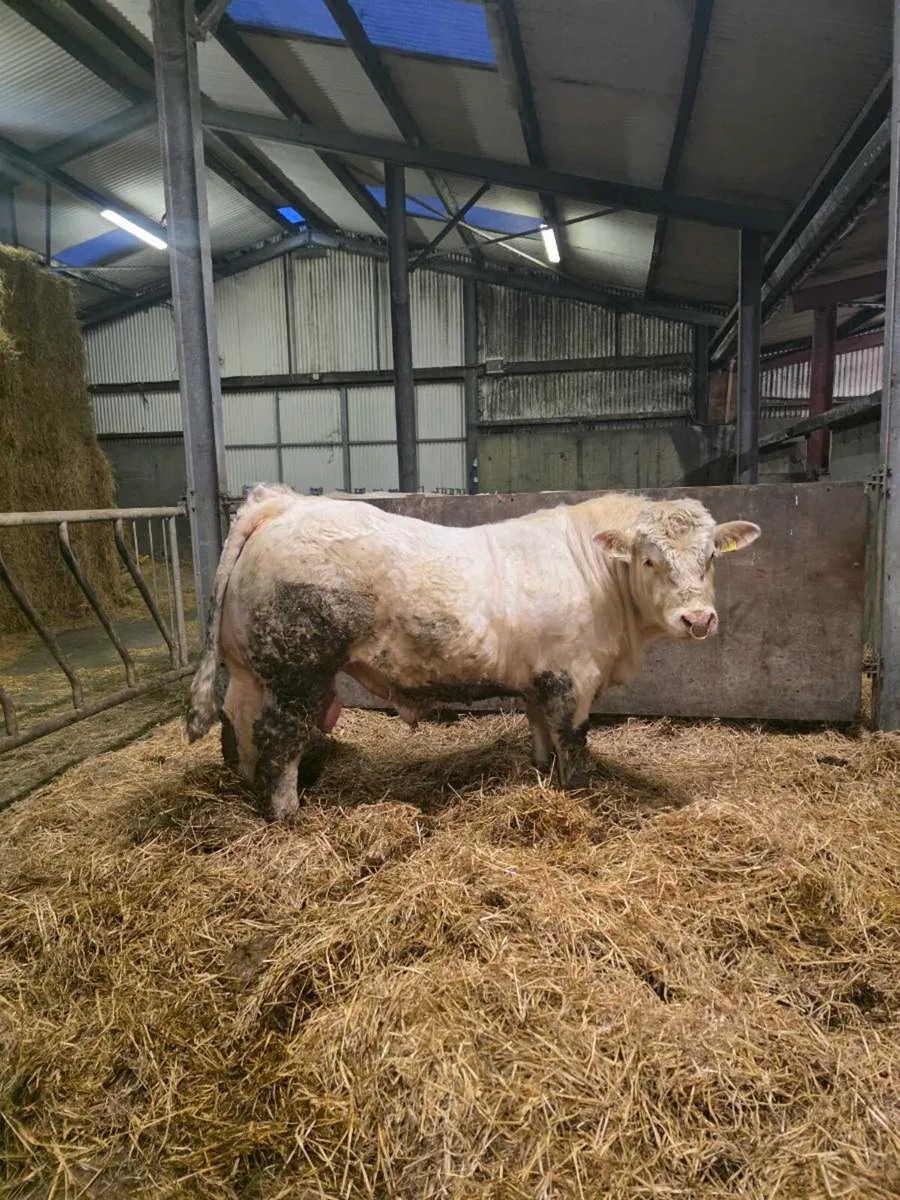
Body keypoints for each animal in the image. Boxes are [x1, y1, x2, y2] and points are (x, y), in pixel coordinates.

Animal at [187, 484, 760, 821]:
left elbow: (539, 730)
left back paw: (249, 788)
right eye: (647, 559)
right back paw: (287, 816)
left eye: (711, 556)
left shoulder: (538, 676)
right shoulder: (572, 676)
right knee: (279, 739)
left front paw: (539, 773)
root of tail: (284, 503)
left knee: (239, 724)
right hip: (298, 672)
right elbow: (573, 743)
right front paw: (577, 794)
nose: (698, 619)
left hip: (253, 671)